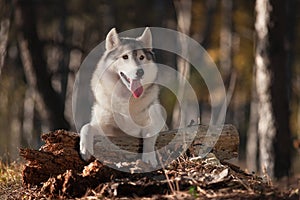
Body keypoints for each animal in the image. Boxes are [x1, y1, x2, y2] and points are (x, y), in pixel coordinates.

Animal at [79, 27, 166, 167]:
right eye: (125, 57)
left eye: (141, 57)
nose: (140, 71)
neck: (126, 98)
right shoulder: (106, 128)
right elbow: (86, 127)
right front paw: (85, 150)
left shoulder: (156, 122)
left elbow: (149, 134)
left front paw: (148, 158)